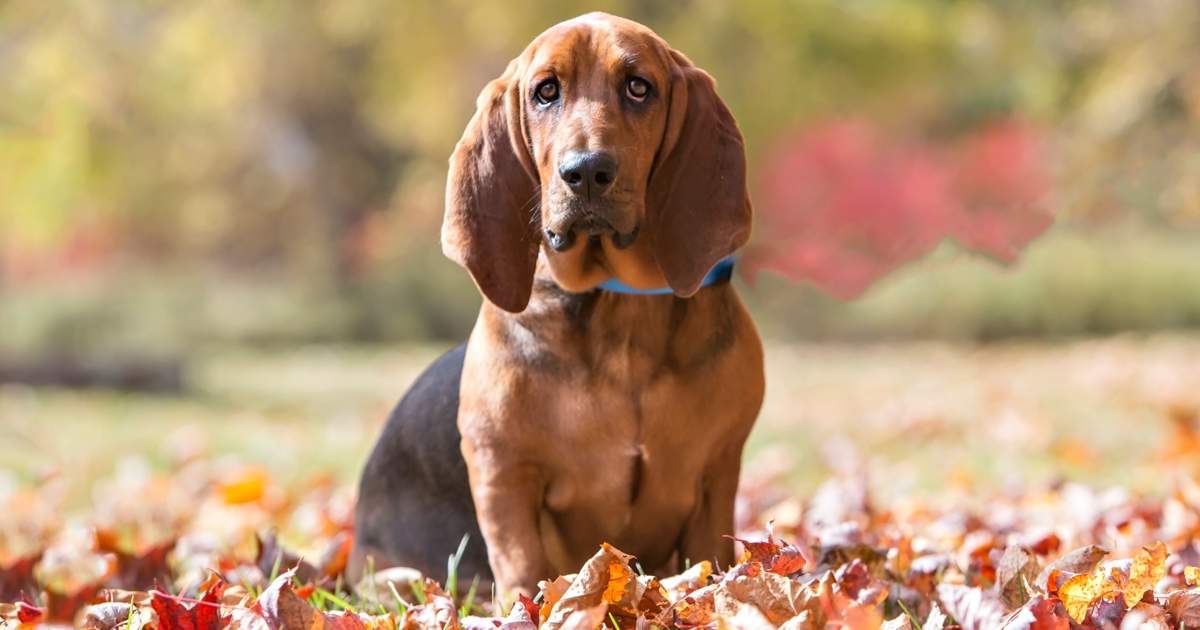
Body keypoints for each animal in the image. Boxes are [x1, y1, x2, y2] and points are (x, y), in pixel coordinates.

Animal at [348, 12, 763, 597]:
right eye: (546, 92)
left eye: (639, 87)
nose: (586, 171)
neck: (620, 301)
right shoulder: (504, 474)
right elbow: (523, 566)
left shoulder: (716, 476)